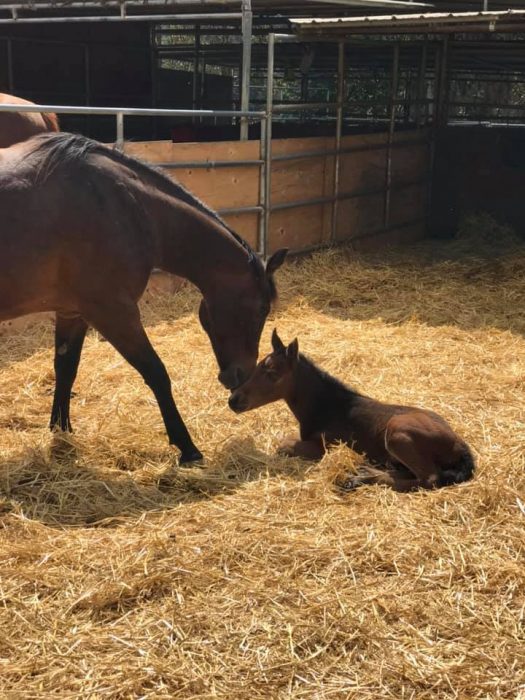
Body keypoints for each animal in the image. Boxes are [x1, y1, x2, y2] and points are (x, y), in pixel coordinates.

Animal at [0, 132, 287, 464]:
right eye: (262, 308)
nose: (240, 376)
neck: (127, 208)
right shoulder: (115, 313)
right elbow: (156, 373)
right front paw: (187, 447)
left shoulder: (74, 313)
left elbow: (66, 369)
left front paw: (61, 430)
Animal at [229, 330, 475, 492]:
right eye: (258, 365)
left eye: (272, 373)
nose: (233, 400)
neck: (327, 406)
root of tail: (460, 446)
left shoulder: (325, 446)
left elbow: (284, 445)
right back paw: (363, 471)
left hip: (397, 433)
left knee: (429, 478)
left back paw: (362, 478)